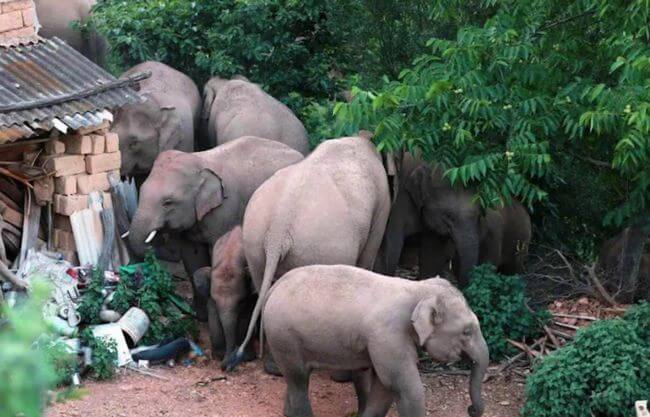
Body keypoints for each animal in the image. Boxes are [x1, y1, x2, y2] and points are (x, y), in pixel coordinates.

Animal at [127, 136, 304, 319]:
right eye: (141, 190)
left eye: (167, 203)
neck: (198, 162)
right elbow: (192, 256)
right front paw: (199, 315)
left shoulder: (225, 210)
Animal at [191, 226, 256, 365]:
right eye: (216, 301)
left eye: (241, 302)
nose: (224, 366)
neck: (229, 259)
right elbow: (212, 313)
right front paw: (219, 355)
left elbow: (247, 315)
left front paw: (246, 357)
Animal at [225, 136, 394, 373]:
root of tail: (278, 228)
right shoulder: (382, 204)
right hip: (318, 248)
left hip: (255, 240)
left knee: (264, 289)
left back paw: (275, 368)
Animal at [264, 265, 489, 417]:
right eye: (467, 331)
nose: (470, 409)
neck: (418, 288)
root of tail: (274, 288)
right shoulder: (389, 335)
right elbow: (402, 385)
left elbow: (383, 385)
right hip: (284, 337)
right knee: (299, 378)